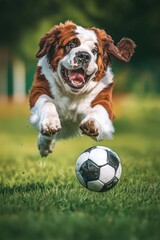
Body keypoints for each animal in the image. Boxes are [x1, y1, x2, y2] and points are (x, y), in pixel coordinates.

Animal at [29, 21, 136, 158]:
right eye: (71, 45)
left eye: (94, 51)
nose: (84, 55)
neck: (72, 94)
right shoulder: (39, 90)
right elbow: (47, 103)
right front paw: (50, 123)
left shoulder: (104, 100)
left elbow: (98, 109)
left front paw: (91, 123)